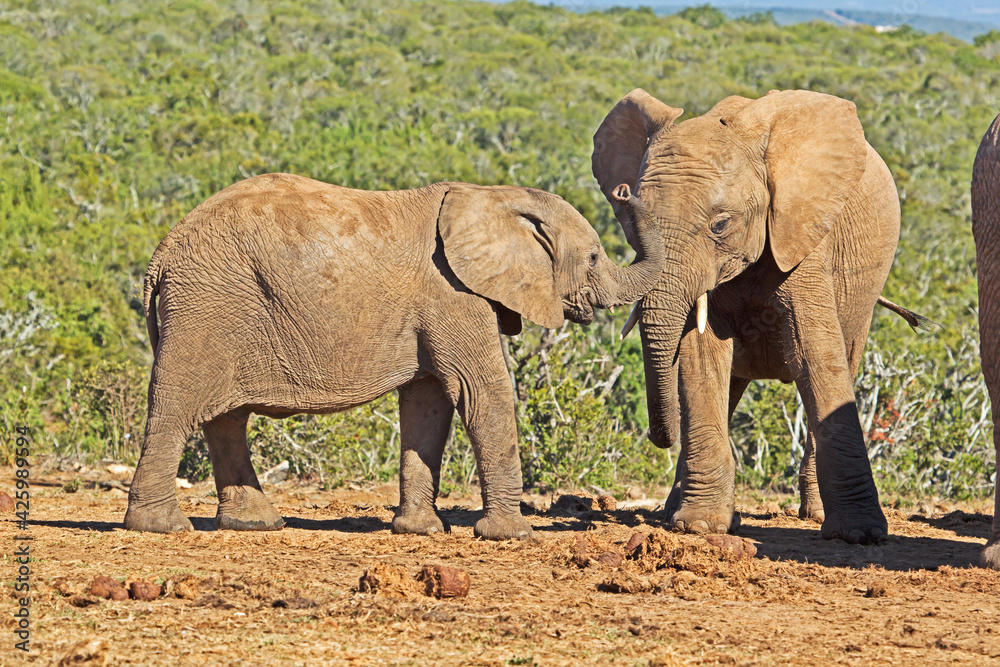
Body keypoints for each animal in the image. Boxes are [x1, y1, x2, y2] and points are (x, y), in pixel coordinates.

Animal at [124, 173, 664, 540]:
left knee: (226, 417)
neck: (491, 194)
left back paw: (254, 525)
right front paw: (510, 536)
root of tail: (162, 252)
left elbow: (428, 404)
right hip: (208, 303)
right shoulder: (453, 293)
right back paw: (161, 526)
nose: (623, 189)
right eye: (593, 257)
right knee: (178, 404)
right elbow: (481, 394)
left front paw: (420, 531)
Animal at [592, 88, 912, 544]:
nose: (622, 193)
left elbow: (815, 356)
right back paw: (677, 511)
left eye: (720, 225)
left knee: (844, 357)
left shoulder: (801, 235)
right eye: (632, 224)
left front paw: (860, 535)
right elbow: (701, 357)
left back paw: (813, 515)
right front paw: (699, 525)